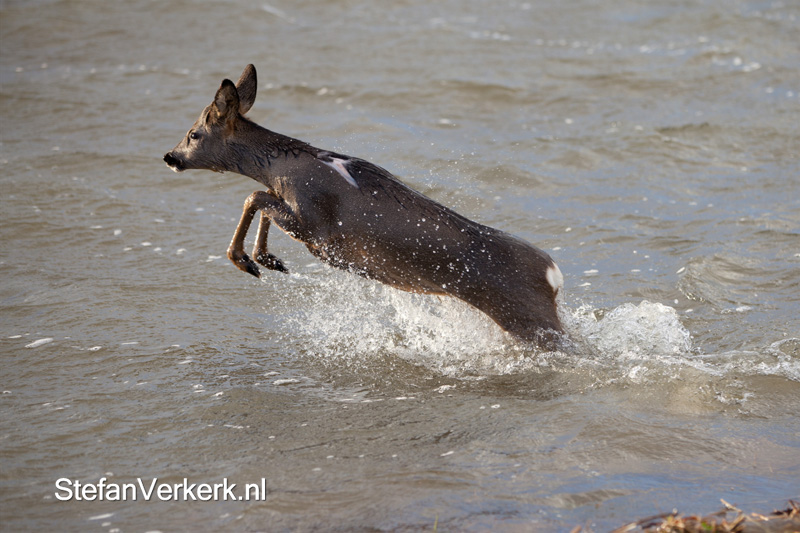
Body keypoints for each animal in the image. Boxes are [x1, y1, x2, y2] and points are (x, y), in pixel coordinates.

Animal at [164, 65, 565, 347]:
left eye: (194, 134)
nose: (170, 156)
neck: (283, 168)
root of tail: (553, 275)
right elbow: (263, 199)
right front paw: (267, 259)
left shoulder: (316, 226)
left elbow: (255, 197)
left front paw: (246, 260)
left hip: (526, 316)